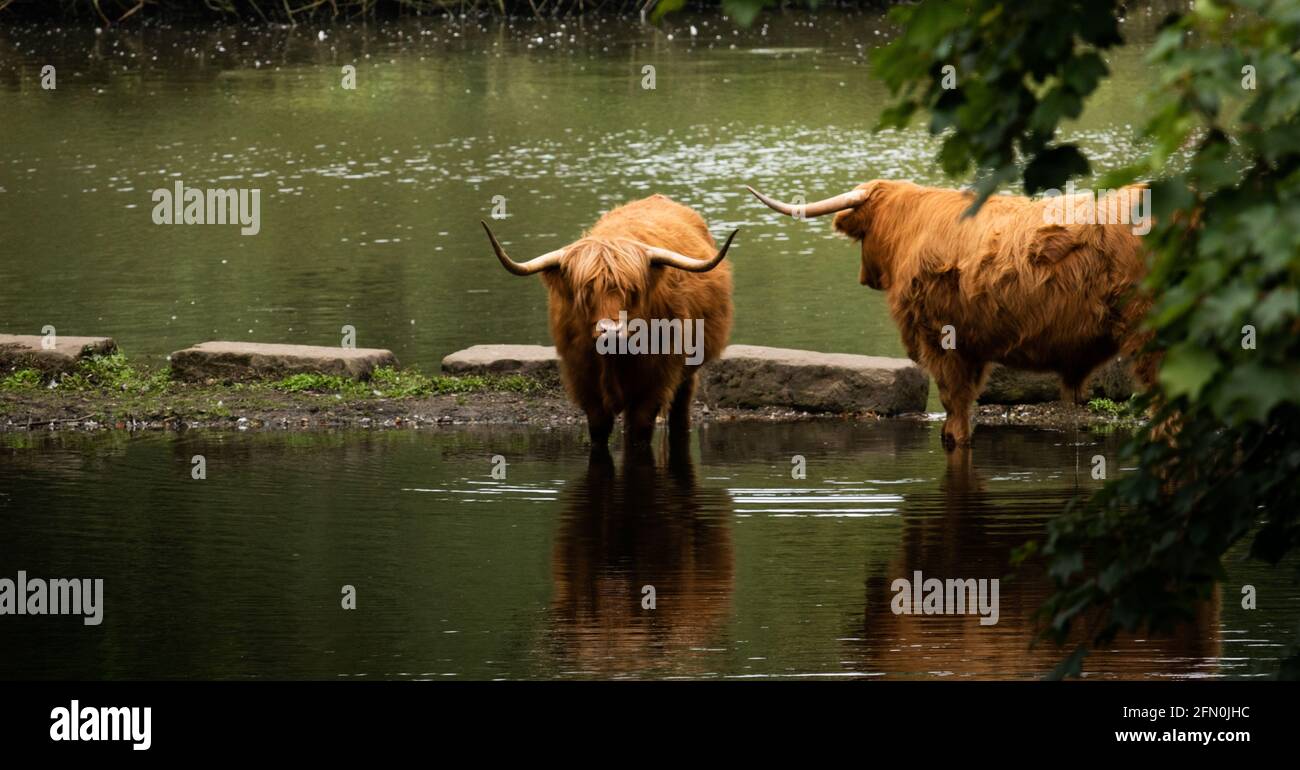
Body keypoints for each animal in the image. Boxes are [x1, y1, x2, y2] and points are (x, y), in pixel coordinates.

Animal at [483, 195, 738, 447]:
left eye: (632, 290)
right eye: (587, 290)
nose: (612, 331)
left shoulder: (655, 380)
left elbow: (639, 430)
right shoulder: (583, 380)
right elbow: (598, 429)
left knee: (680, 409)